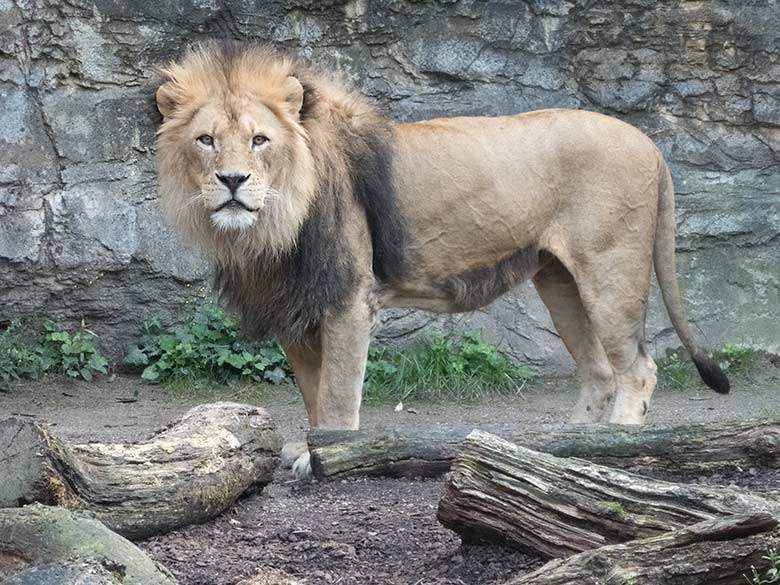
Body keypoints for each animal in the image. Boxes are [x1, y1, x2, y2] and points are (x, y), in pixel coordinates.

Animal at [154, 44, 732, 474]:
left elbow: (337, 394)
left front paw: (330, 454)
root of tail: (649, 142)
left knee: (637, 368)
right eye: (206, 140)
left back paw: (617, 444)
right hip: (559, 280)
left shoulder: (348, 300)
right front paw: (307, 447)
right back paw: (567, 450)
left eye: (259, 140)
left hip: (610, 270)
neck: (272, 227)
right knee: (599, 371)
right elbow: (313, 392)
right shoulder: (293, 307)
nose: (233, 180)